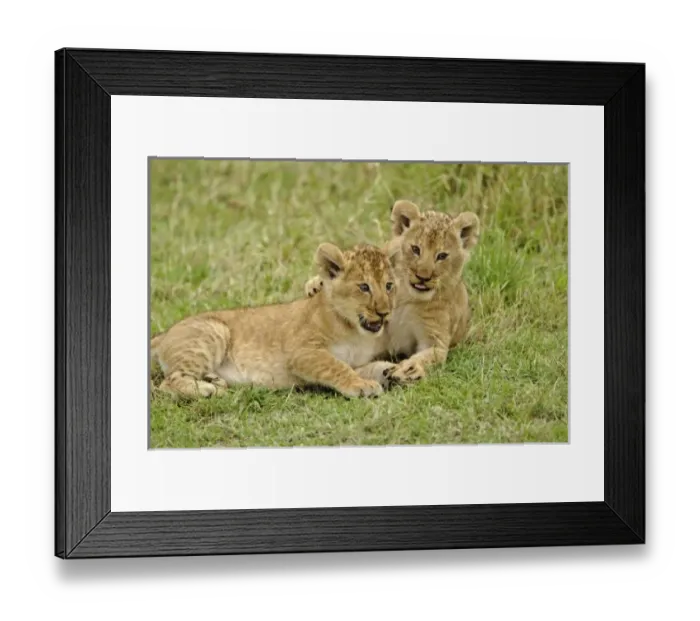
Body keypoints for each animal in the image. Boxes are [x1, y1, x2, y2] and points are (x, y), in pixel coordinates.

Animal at [150, 242, 422, 401]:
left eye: (389, 286)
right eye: (364, 287)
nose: (385, 313)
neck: (355, 332)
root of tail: (165, 333)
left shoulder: (358, 361)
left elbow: (373, 366)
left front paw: (401, 371)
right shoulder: (302, 352)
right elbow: (336, 367)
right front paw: (361, 386)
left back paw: (213, 380)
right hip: (214, 331)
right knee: (167, 382)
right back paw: (207, 389)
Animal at [304, 200, 480, 379]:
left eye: (442, 256)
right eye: (415, 249)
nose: (423, 277)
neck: (407, 297)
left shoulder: (435, 338)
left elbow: (430, 354)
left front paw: (410, 368)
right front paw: (316, 284)